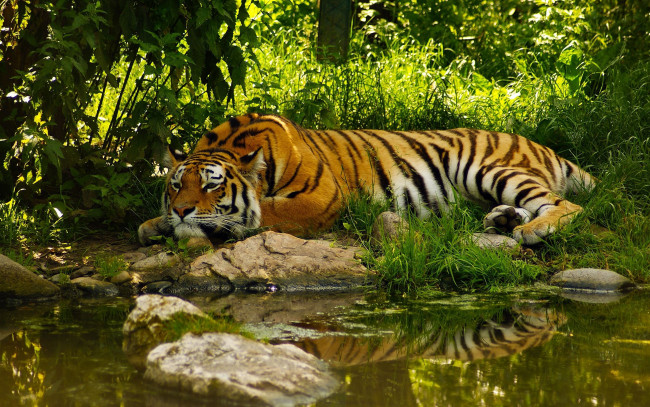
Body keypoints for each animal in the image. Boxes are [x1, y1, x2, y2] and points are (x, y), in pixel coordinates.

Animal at [138, 113, 595, 246]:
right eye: (176, 184)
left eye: (212, 185)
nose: (182, 210)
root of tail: (540, 145)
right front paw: (155, 224)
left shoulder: (321, 197)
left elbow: (264, 212)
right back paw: (503, 220)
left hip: (486, 168)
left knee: (567, 205)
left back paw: (532, 230)